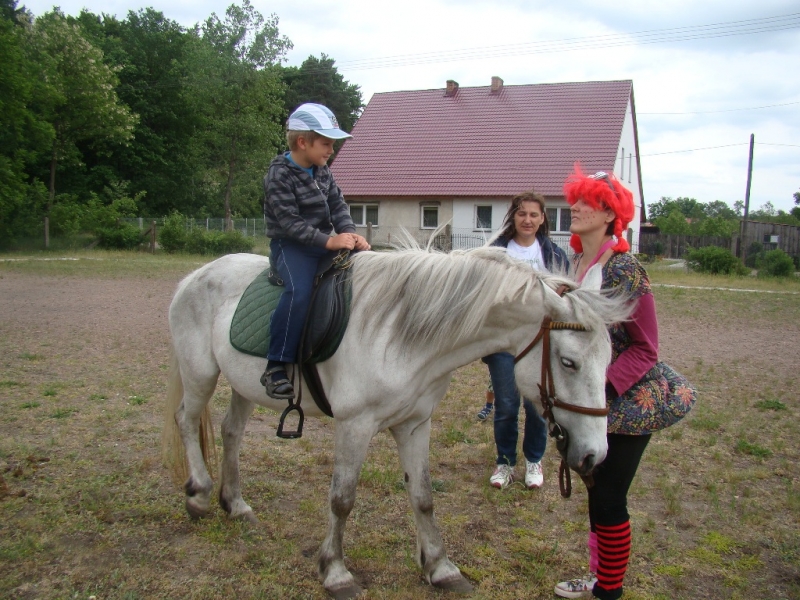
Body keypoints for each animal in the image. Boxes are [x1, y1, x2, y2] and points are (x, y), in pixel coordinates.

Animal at [164, 245, 632, 600]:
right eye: (569, 362)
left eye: (611, 357)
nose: (595, 455)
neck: (403, 334)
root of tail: (195, 276)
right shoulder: (354, 426)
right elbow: (342, 499)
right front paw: (335, 572)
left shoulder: (415, 424)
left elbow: (423, 497)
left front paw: (440, 568)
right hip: (200, 373)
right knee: (187, 421)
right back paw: (199, 495)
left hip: (244, 386)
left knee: (230, 432)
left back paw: (235, 504)